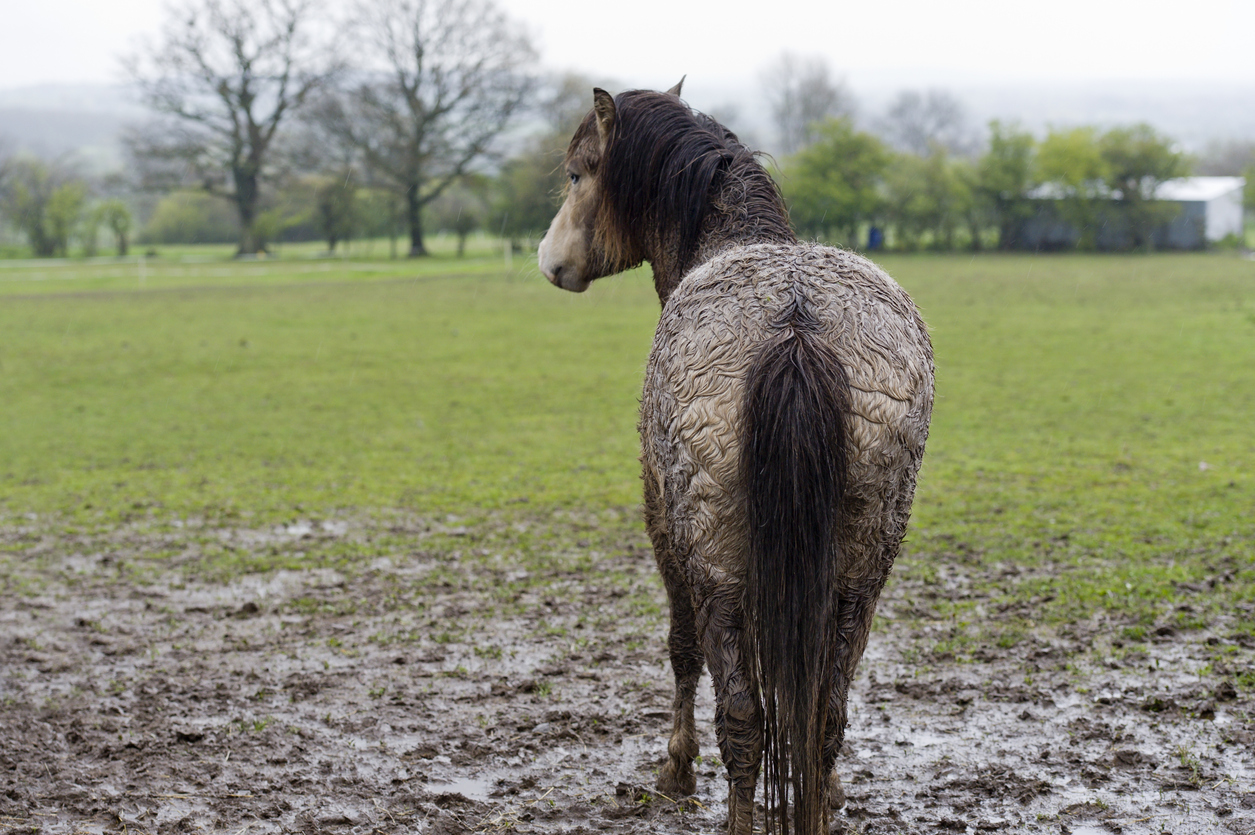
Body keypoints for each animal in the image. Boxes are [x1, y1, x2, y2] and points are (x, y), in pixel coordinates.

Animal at [537, 81, 933, 833]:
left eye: (577, 173)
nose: (549, 259)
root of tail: (797, 325)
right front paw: (832, 789)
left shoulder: (662, 521)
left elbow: (681, 647)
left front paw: (676, 766)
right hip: (861, 569)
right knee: (825, 711)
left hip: (715, 559)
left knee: (744, 715)